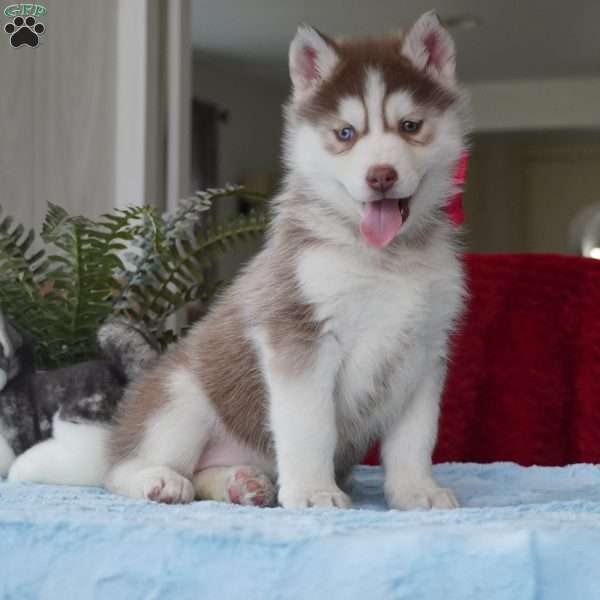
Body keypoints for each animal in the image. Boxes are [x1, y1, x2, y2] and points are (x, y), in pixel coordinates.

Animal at [105, 11, 468, 508]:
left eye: (410, 126)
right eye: (345, 133)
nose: (381, 176)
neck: (383, 259)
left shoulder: (425, 348)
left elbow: (415, 438)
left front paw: (417, 491)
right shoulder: (298, 335)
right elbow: (311, 426)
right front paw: (314, 492)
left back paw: (242, 483)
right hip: (181, 396)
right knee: (122, 467)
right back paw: (157, 479)